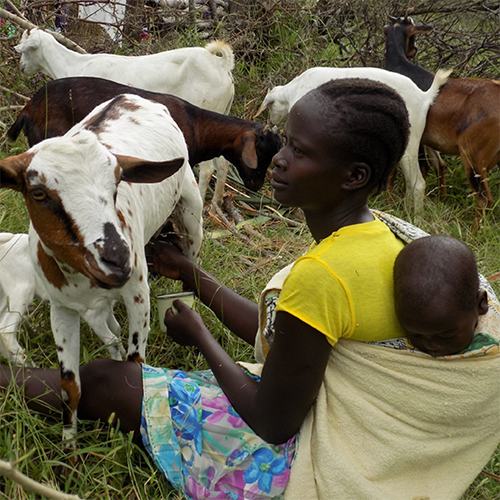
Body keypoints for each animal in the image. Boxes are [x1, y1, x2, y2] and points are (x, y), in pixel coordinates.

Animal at [0, 94, 204, 454]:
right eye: (38, 193)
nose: (118, 258)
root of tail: (131, 96)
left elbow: (135, 366)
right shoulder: (62, 309)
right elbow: (70, 386)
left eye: (118, 182)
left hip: (191, 210)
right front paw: (69, 451)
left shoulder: (137, 293)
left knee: (191, 261)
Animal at [256, 66, 452, 211]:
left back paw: (415, 218)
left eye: (270, 106)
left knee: (418, 184)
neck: (295, 89)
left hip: (410, 147)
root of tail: (424, 97)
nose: (271, 122)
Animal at [382, 15, 500, 227]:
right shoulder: (428, 142)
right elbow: (437, 166)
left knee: (484, 199)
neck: (404, 70)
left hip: (473, 160)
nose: (413, 50)